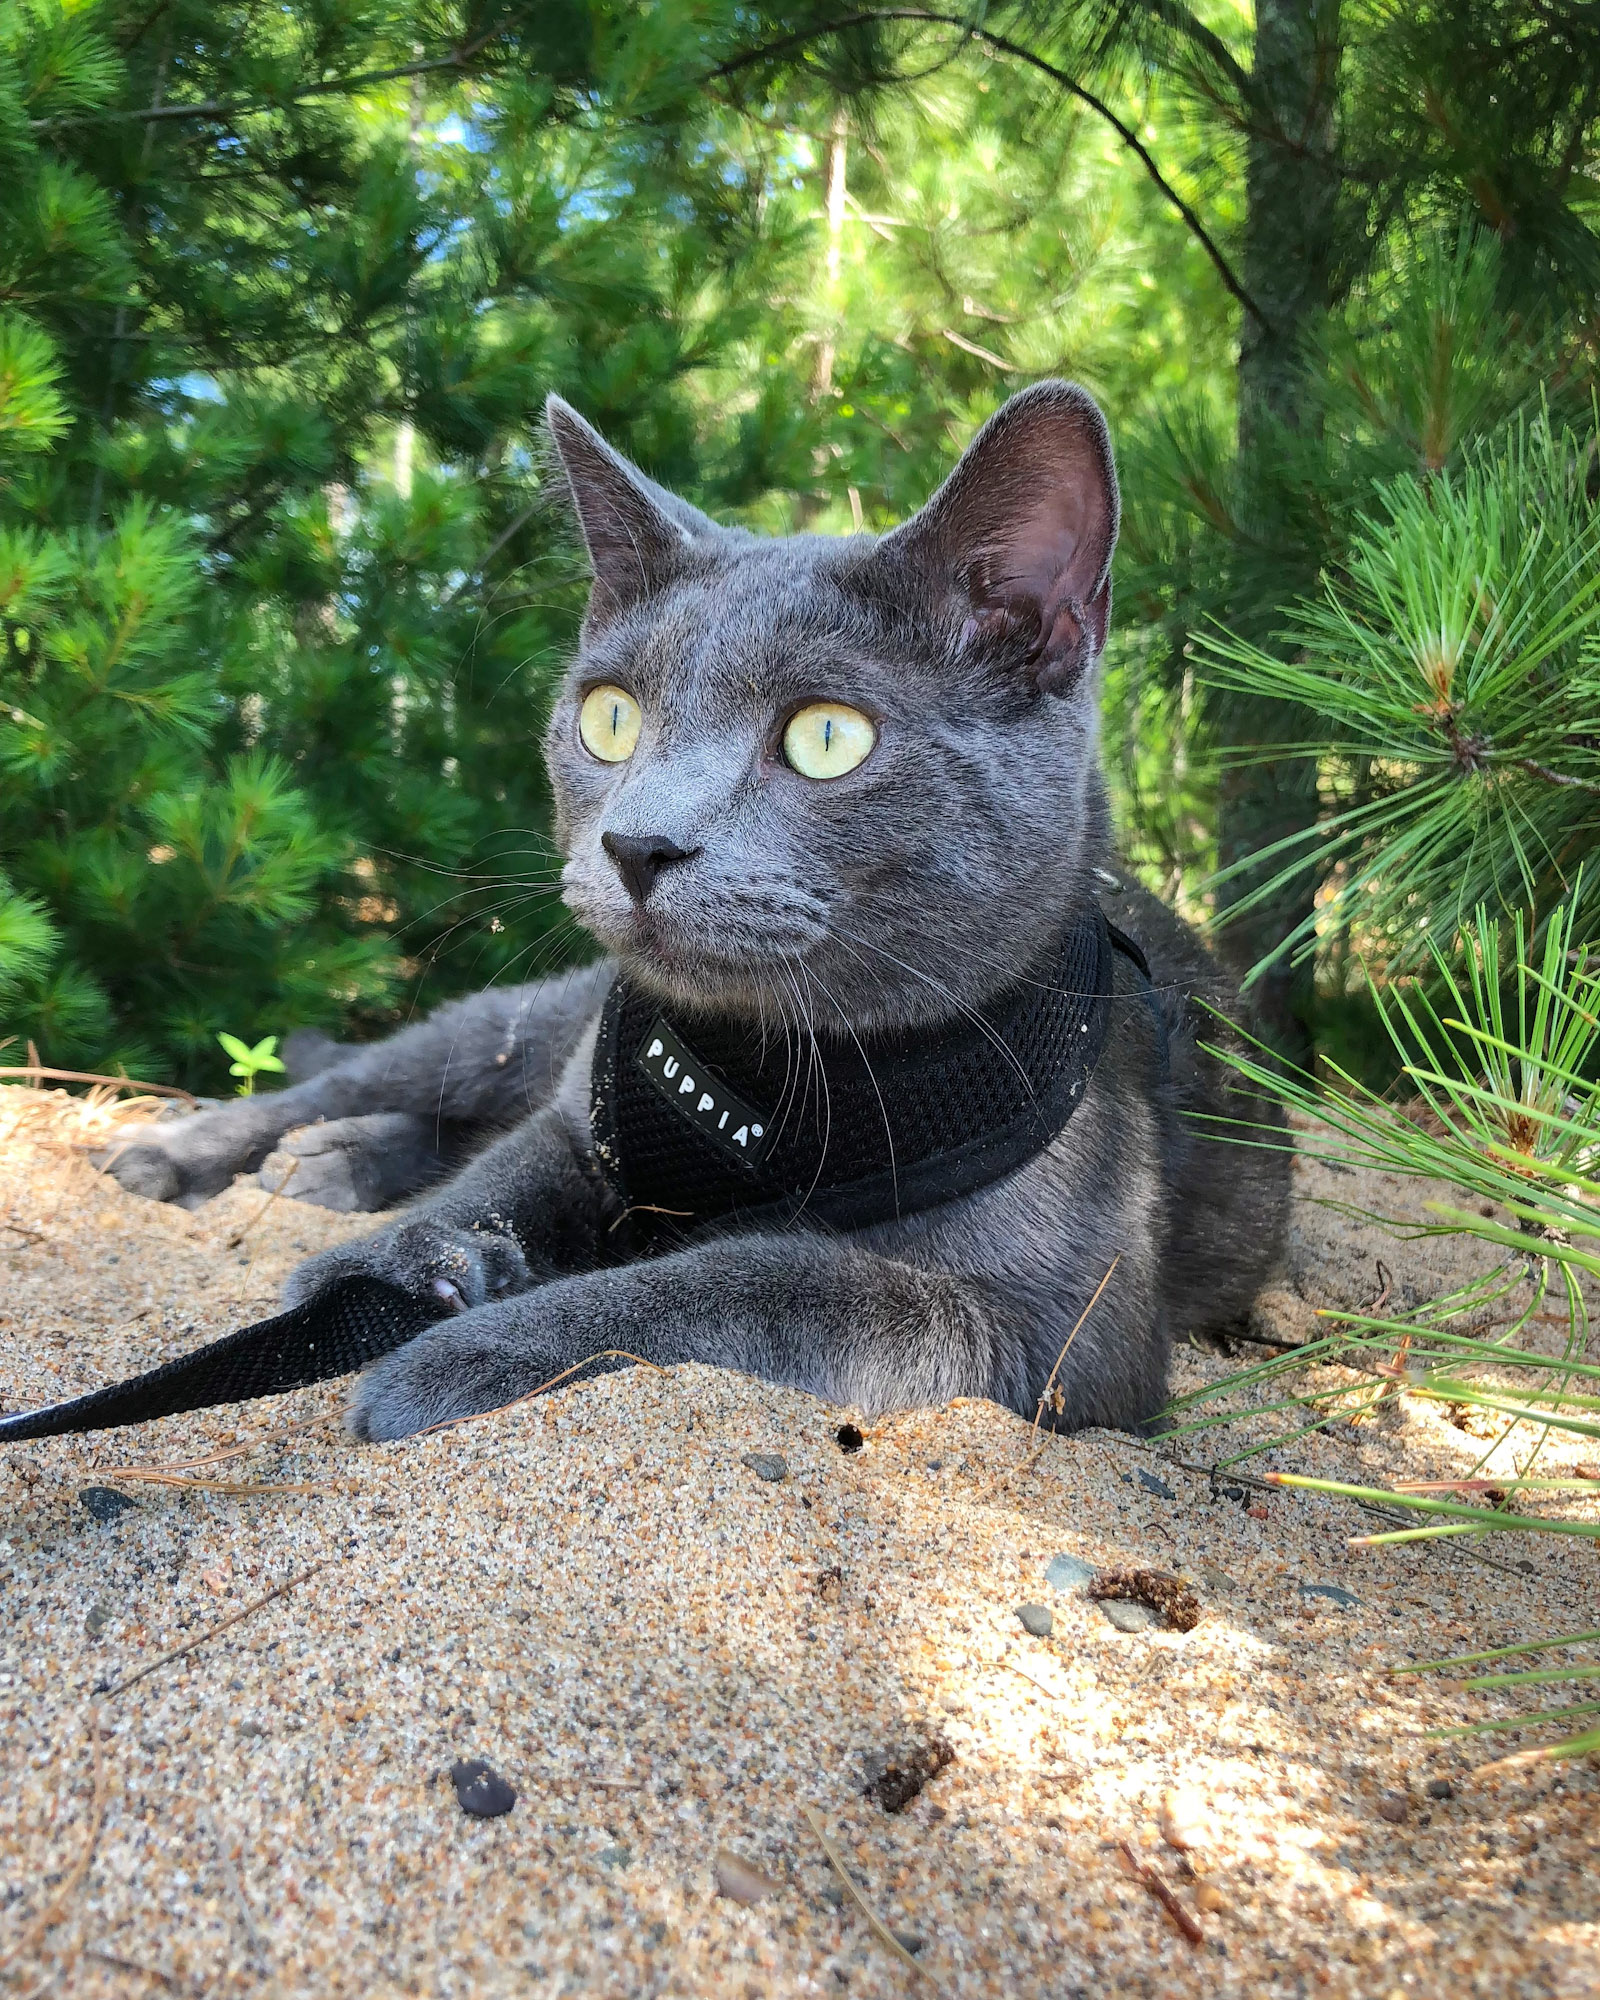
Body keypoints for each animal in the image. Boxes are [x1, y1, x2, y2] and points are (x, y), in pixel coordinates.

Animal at [106, 378, 1288, 1440]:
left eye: (827, 736)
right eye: (609, 717)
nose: (636, 843)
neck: (763, 1073)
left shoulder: (1068, 1330)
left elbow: (764, 1282)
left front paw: (472, 1350)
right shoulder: (589, 1117)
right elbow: (517, 1159)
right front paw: (392, 1266)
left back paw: (329, 1162)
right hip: (524, 1016)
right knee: (392, 1081)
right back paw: (217, 1155)